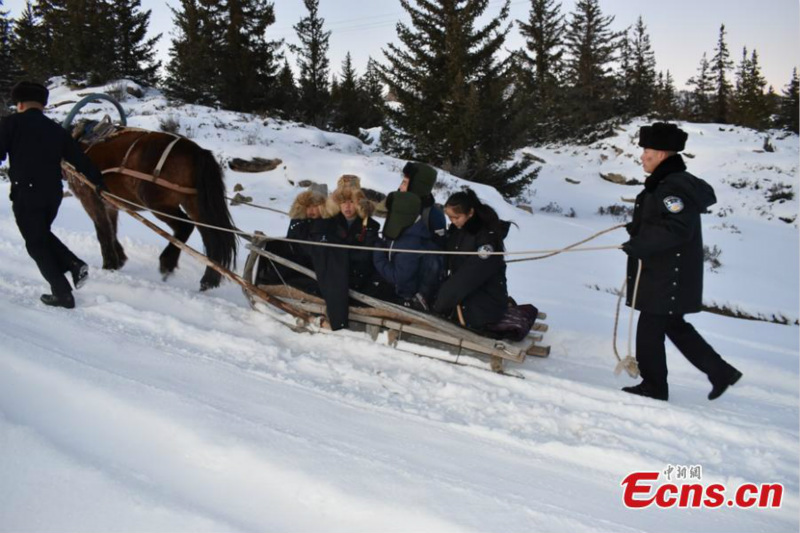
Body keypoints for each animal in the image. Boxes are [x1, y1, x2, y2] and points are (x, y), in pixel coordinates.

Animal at [68, 123, 238, 290]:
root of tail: (197, 152)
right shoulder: (109, 204)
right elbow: (111, 230)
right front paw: (119, 258)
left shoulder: (89, 198)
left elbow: (102, 231)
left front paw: (109, 264)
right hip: (194, 204)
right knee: (212, 237)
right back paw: (208, 280)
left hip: (158, 204)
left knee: (185, 226)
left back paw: (167, 262)